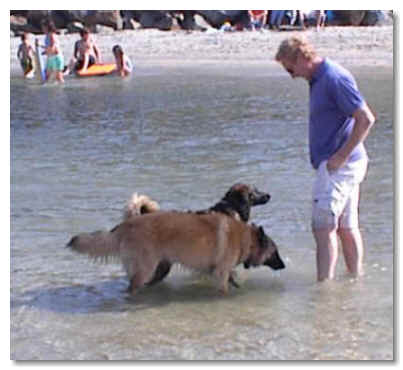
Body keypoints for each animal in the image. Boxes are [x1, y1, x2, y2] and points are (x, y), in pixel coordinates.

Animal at [68, 211, 282, 294]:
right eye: (275, 252)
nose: (283, 265)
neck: (246, 238)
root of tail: (124, 225)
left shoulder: (220, 271)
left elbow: (232, 279)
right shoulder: (220, 272)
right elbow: (225, 287)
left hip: (157, 267)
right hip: (146, 268)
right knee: (133, 286)